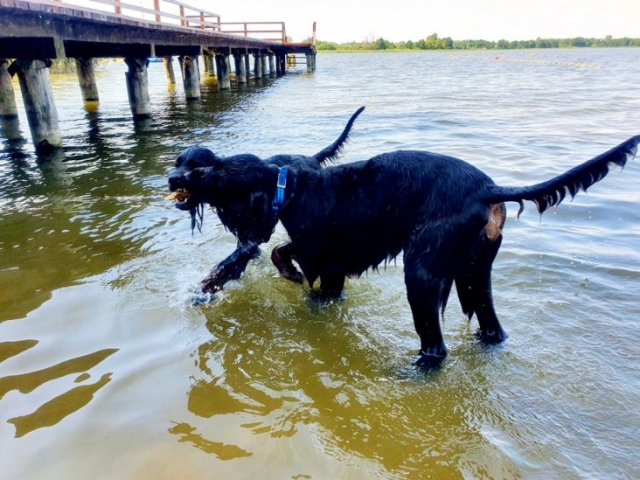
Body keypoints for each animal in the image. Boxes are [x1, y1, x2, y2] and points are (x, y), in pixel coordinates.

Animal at [168, 107, 362, 292]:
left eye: (195, 166)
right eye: (177, 164)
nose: (172, 179)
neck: (231, 191)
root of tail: (312, 158)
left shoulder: (259, 232)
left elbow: (233, 259)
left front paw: (208, 286)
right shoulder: (241, 232)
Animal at [168, 129, 636, 366]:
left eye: (203, 171)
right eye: (180, 163)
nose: (172, 180)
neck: (294, 185)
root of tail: (489, 189)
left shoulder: (323, 255)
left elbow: (287, 256)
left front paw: (289, 275)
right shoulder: (329, 264)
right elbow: (289, 259)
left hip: (423, 273)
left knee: (436, 346)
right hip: (473, 273)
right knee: (491, 327)